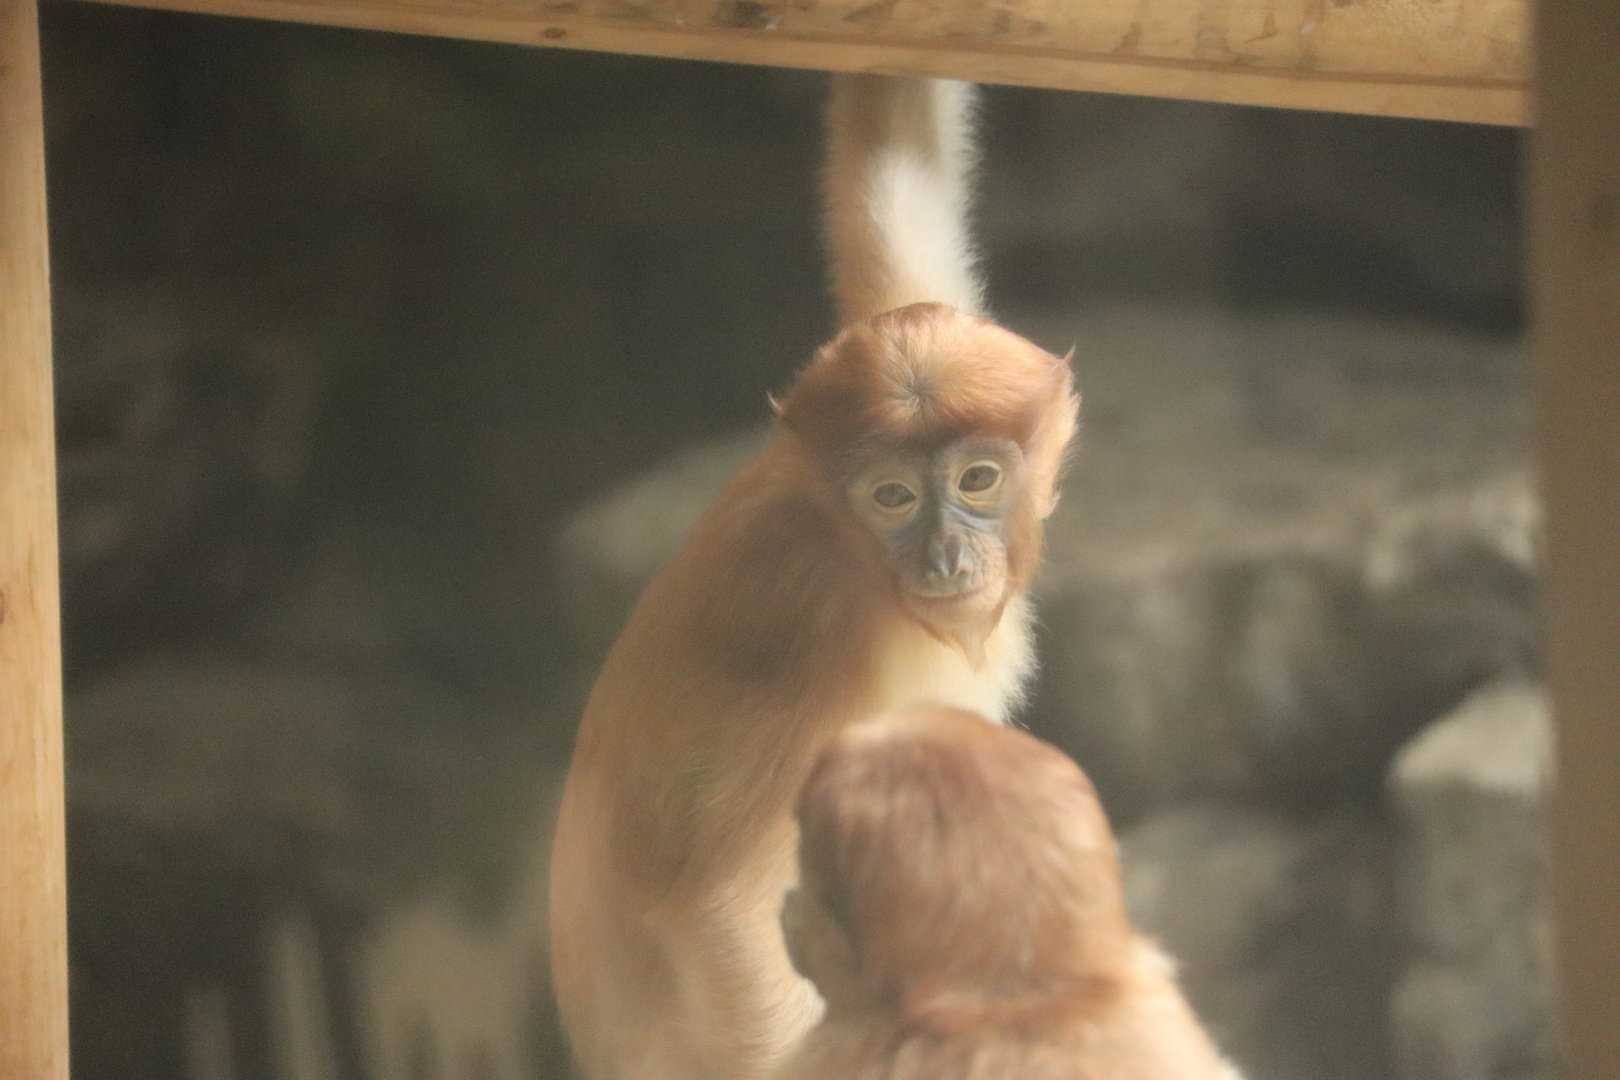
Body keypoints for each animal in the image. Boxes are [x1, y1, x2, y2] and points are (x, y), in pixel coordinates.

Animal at [548, 75, 1078, 1080]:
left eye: (978, 480)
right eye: (892, 496)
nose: (947, 559)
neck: (846, 544)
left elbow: (895, 176)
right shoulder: (798, 609)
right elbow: (720, 904)